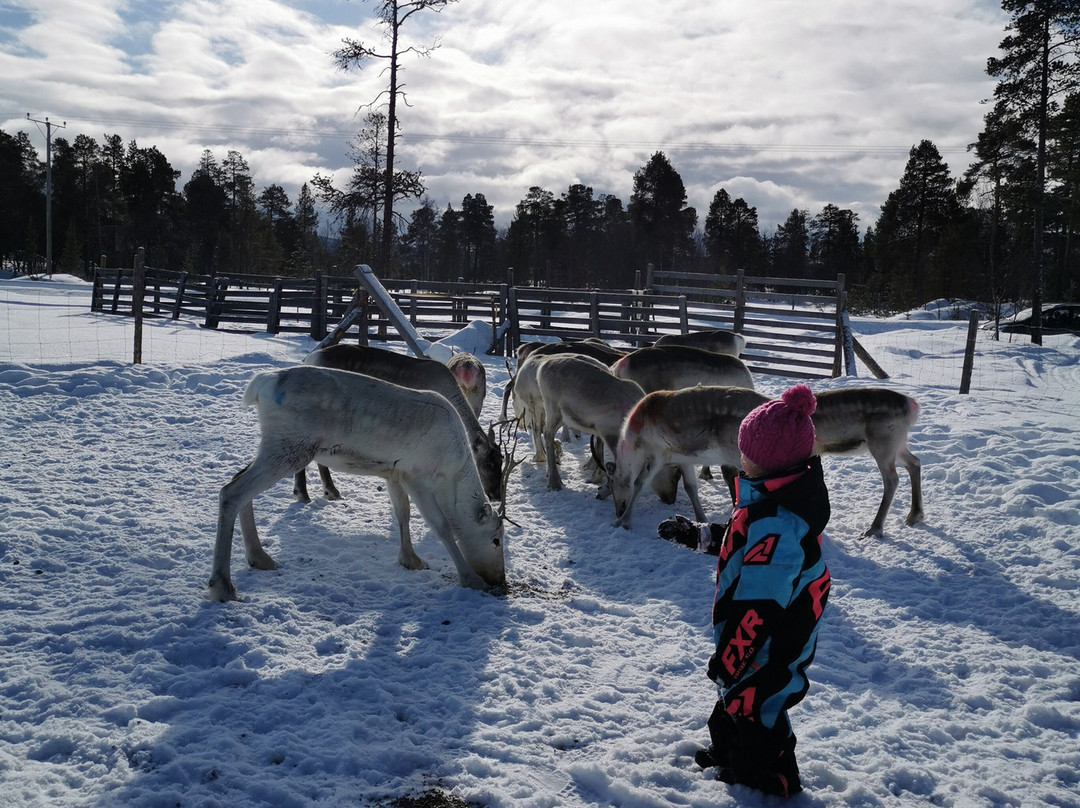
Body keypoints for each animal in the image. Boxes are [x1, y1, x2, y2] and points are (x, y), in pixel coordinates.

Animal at [208, 366, 506, 601]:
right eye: (496, 539)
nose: (500, 580)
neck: (452, 476)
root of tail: (261, 385)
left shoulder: (395, 474)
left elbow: (402, 513)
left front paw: (410, 559)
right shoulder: (418, 477)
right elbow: (442, 527)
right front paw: (472, 580)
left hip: (277, 447)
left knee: (237, 479)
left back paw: (259, 558)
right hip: (290, 448)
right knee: (231, 492)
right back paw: (222, 586)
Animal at [609, 385, 923, 539]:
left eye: (611, 486)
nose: (617, 507)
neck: (630, 439)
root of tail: (913, 405)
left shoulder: (657, 452)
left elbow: (640, 483)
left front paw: (623, 522)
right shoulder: (683, 457)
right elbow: (691, 487)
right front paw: (700, 518)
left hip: (882, 443)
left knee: (892, 478)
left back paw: (875, 527)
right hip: (897, 443)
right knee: (915, 462)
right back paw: (914, 514)